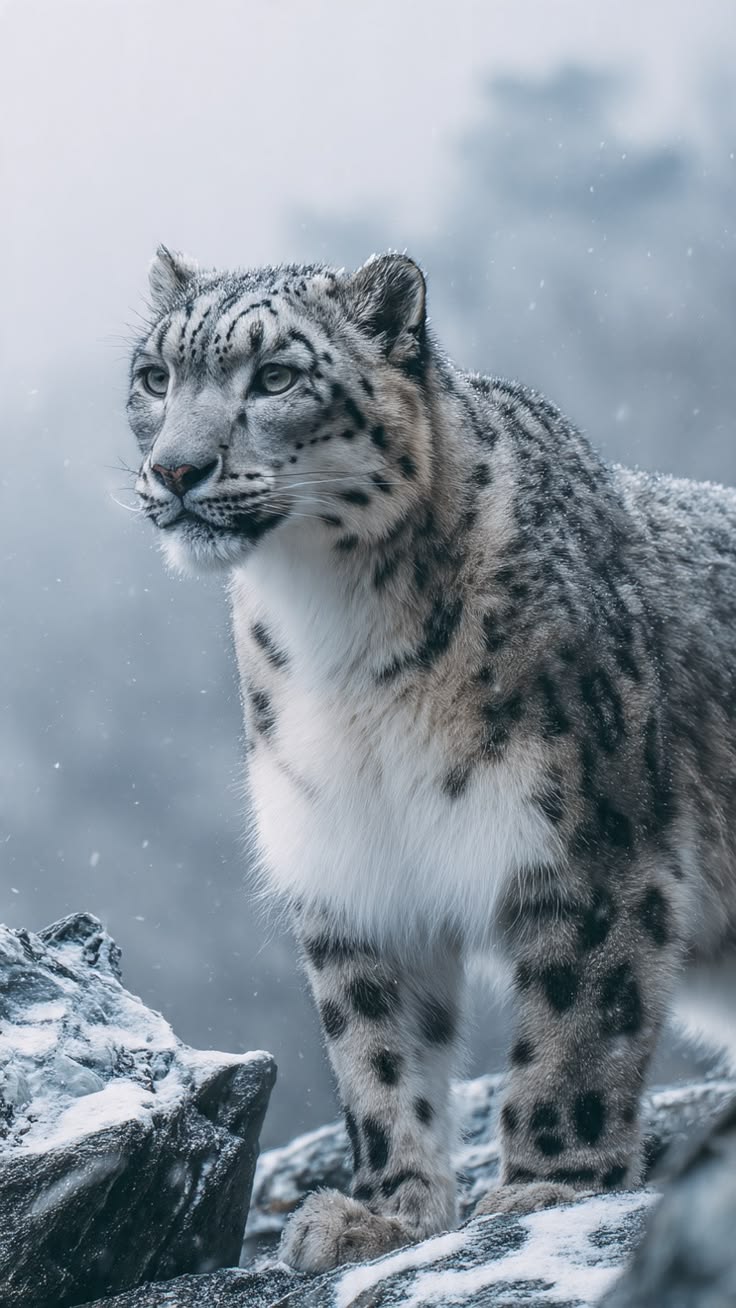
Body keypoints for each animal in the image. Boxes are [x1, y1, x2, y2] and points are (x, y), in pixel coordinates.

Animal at [127, 246, 736, 1273]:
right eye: (154, 377)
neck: (341, 640)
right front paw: (386, 1215)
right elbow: (378, 1052)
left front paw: (548, 1186)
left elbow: (578, 1022)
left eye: (277, 377)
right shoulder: (351, 864)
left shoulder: (592, 848)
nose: (175, 468)